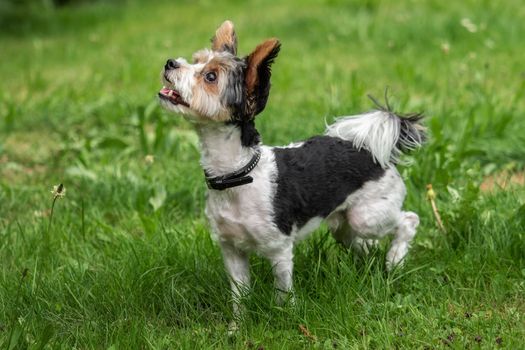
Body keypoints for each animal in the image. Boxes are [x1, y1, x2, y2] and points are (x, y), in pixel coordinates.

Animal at [158, 19, 424, 326]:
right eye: (197, 60)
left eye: (210, 77)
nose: (170, 63)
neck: (237, 175)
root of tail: (372, 149)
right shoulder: (232, 251)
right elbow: (240, 295)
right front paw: (237, 327)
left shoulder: (279, 249)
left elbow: (282, 291)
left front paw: (285, 317)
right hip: (343, 226)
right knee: (364, 244)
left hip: (366, 216)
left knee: (409, 220)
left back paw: (395, 260)